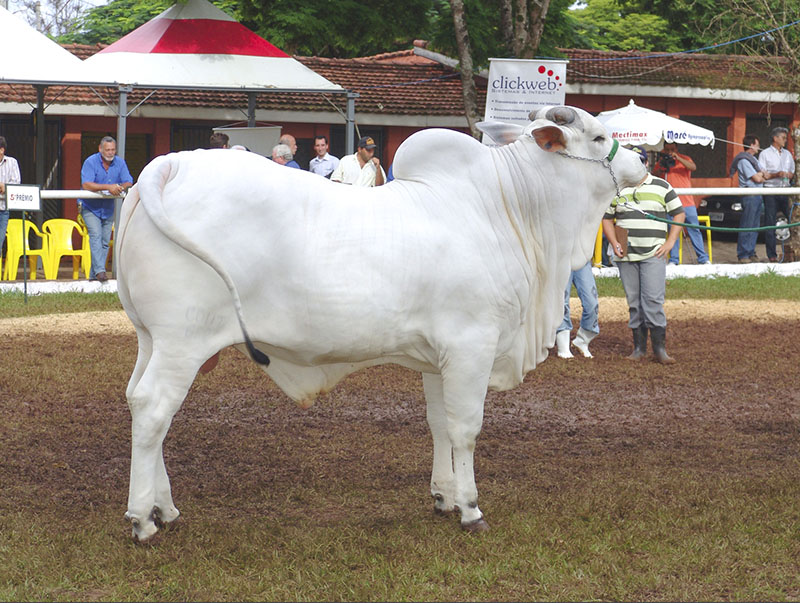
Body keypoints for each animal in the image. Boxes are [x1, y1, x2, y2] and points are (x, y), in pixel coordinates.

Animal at [115, 106, 648, 544]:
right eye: (600, 137)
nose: (643, 158)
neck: (507, 209)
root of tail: (171, 164)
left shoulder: (439, 359)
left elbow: (439, 424)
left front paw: (443, 496)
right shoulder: (472, 345)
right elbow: (466, 427)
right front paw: (471, 509)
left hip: (151, 339)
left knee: (139, 403)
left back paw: (165, 508)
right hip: (183, 342)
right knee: (155, 408)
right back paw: (143, 520)